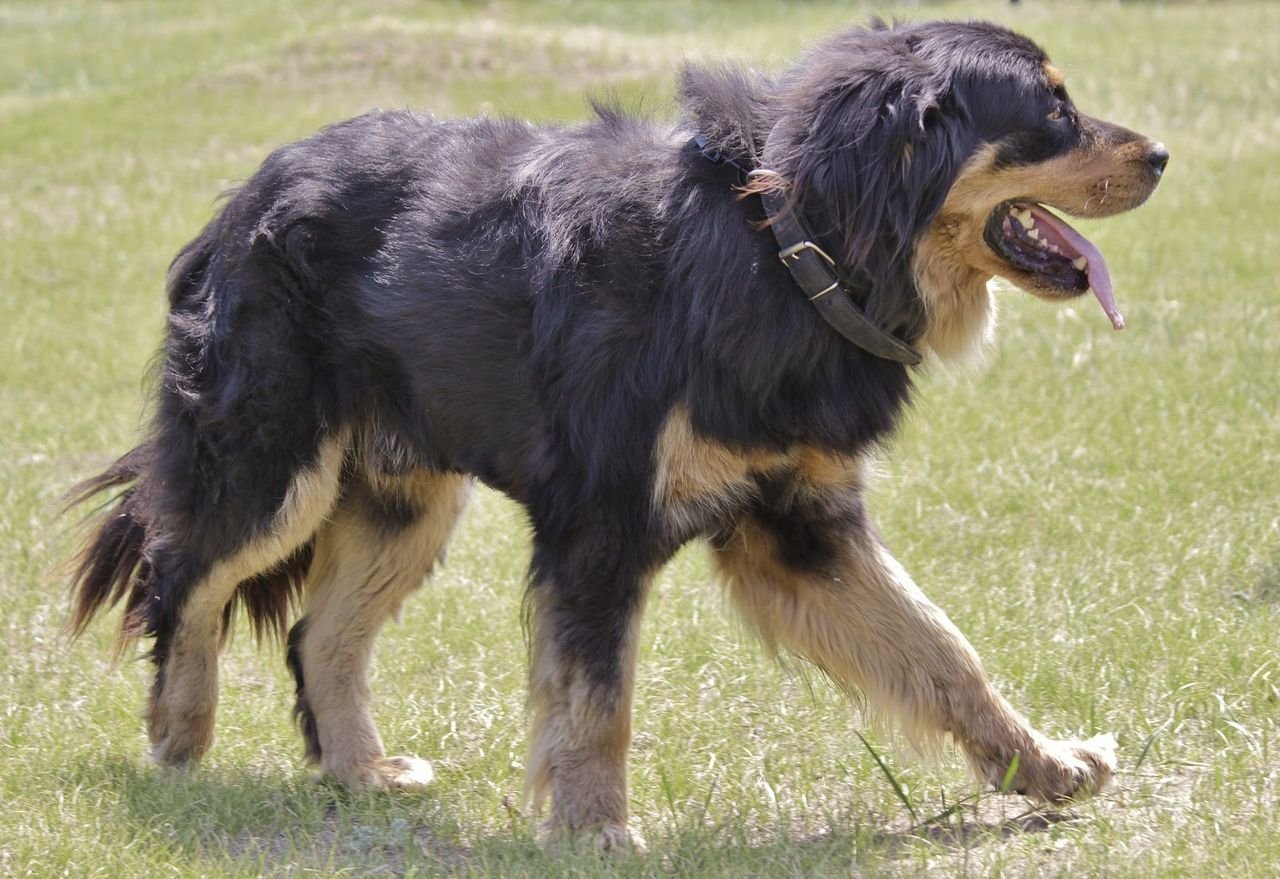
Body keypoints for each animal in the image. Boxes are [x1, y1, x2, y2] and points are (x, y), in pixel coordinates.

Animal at [67, 18, 1172, 844]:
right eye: (1051, 111)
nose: (1161, 155)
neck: (784, 245)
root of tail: (241, 197)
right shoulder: (599, 524)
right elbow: (598, 699)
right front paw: (595, 828)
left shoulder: (799, 524)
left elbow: (943, 650)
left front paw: (1045, 765)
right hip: (272, 463)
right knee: (184, 580)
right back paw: (179, 745)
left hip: (404, 497)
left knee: (318, 634)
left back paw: (362, 772)